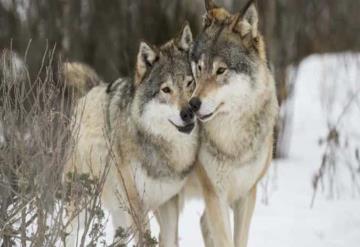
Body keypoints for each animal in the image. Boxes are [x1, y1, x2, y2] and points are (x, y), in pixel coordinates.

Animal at [64, 23, 200, 247]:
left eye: (190, 83)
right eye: (166, 89)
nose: (188, 112)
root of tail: (91, 89)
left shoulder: (169, 202)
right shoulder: (136, 204)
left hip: (119, 213)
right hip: (83, 204)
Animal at [176, 0, 280, 246]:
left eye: (221, 70)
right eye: (200, 67)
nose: (193, 104)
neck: (232, 140)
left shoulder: (247, 195)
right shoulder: (215, 195)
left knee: (202, 223)